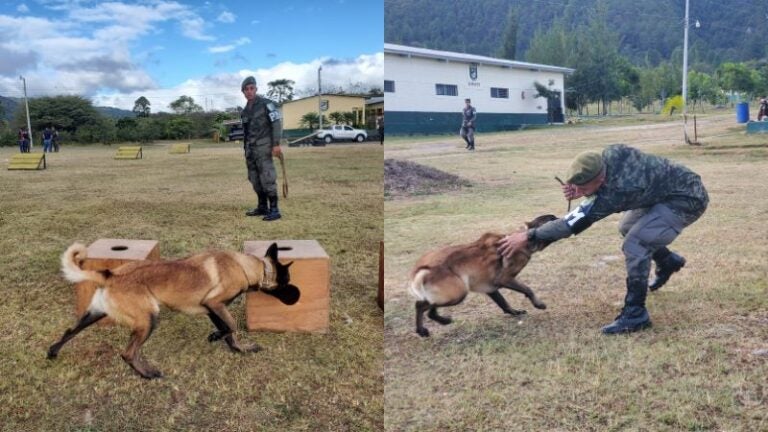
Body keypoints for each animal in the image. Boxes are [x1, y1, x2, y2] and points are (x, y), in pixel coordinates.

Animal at [47, 241, 300, 380]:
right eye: (287, 281)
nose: (297, 295)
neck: (246, 266)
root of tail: (111, 274)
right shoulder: (215, 304)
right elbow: (231, 326)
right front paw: (217, 337)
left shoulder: (211, 309)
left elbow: (228, 331)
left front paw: (237, 348)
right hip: (148, 319)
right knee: (128, 353)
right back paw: (148, 374)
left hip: (95, 314)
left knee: (69, 331)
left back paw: (52, 353)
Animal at [412, 215, 556, 338]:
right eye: (552, 219)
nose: (560, 218)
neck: (522, 239)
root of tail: (424, 268)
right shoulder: (505, 279)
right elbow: (528, 289)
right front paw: (539, 304)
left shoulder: (491, 288)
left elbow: (504, 304)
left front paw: (515, 312)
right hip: (458, 294)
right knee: (421, 306)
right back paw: (426, 329)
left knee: (428, 309)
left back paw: (437, 323)